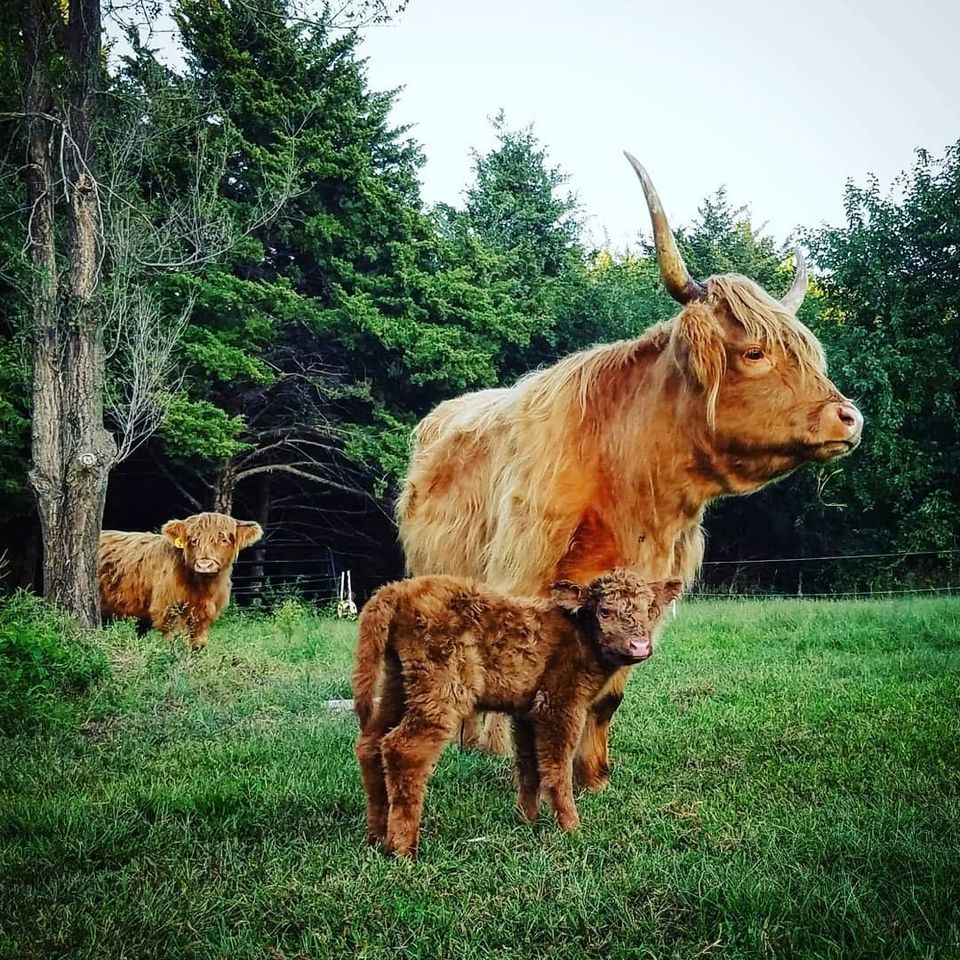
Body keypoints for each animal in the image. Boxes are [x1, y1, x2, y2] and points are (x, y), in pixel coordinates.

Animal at [100, 510, 262, 652]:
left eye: (223, 540)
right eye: (193, 540)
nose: (204, 565)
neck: (203, 589)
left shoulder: (205, 616)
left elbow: (197, 645)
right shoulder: (167, 611)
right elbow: (177, 641)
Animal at [354, 568, 684, 856]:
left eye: (650, 610)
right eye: (605, 611)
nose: (639, 645)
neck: (580, 636)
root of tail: (397, 590)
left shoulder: (527, 712)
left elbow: (529, 764)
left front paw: (527, 819)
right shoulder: (559, 705)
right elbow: (557, 767)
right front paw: (571, 827)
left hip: (398, 683)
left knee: (371, 743)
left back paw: (376, 835)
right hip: (442, 688)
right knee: (403, 748)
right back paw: (403, 849)